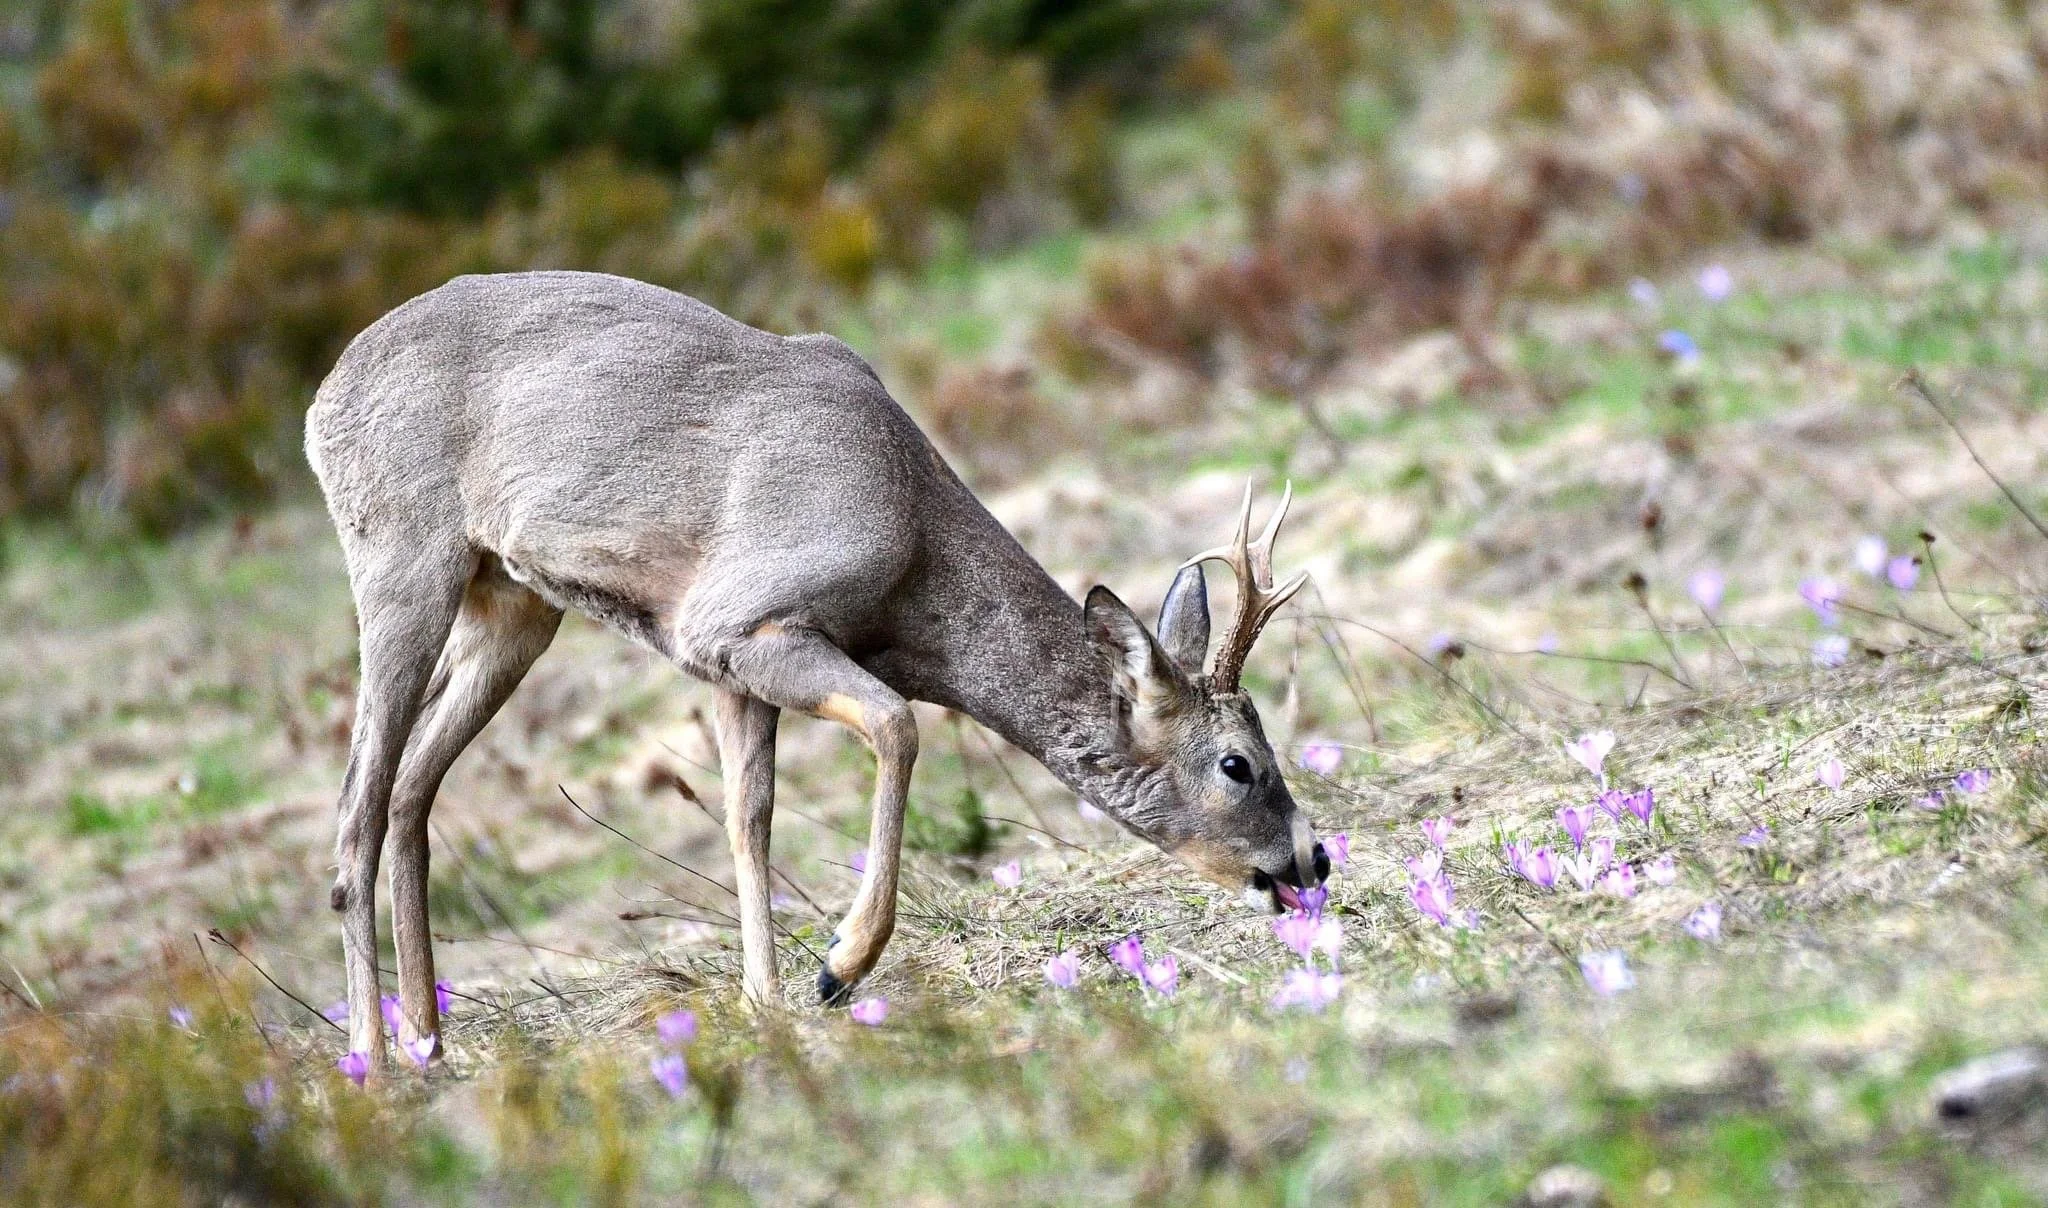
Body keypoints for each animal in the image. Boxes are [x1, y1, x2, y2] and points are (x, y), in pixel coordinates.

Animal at [306, 271, 1330, 1071]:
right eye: (1237, 764)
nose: (1311, 859)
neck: (910, 555)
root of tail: (320, 401)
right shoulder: (739, 618)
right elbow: (896, 724)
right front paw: (839, 965)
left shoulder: (721, 665)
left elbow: (746, 817)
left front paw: (765, 1000)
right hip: (401, 554)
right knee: (357, 805)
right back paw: (374, 1061)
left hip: (515, 605)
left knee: (411, 790)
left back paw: (428, 1036)